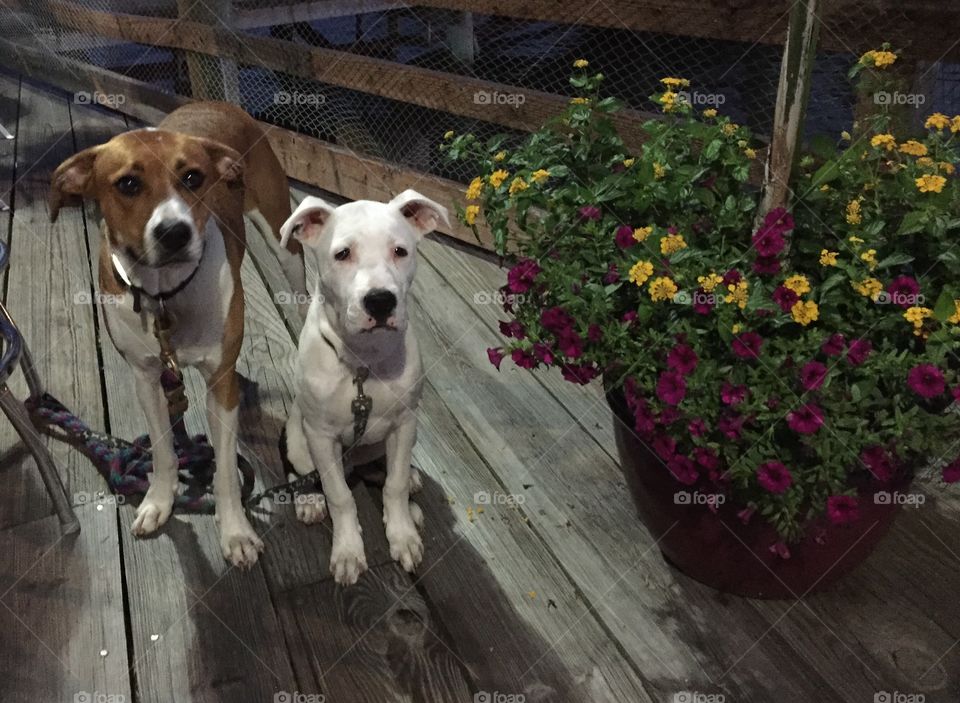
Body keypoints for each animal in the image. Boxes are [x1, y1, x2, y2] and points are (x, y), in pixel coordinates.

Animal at [50, 102, 306, 568]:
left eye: (193, 178)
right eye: (128, 184)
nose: (175, 232)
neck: (165, 294)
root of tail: (215, 104)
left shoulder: (220, 383)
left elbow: (225, 470)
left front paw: (236, 532)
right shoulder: (146, 377)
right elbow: (165, 449)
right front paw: (159, 501)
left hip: (282, 238)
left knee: (301, 297)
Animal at [274, 190, 446, 584]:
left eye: (400, 251)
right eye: (342, 254)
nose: (380, 301)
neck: (363, 364)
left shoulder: (404, 423)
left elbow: (394, 486)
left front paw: (402, 534)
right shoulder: (321, 437)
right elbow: (340, 496)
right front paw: (349, 551)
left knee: (386, 473)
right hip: (298, 438)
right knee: (299, 470)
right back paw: (308, 500)